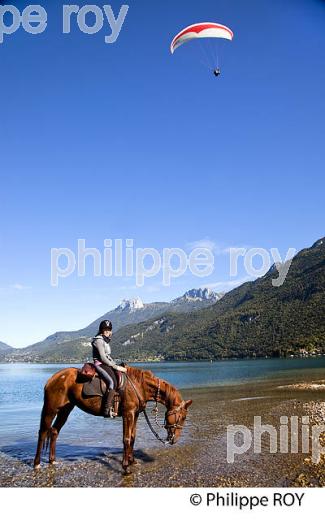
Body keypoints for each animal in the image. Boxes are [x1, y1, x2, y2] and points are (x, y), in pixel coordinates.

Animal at [33, 366, 190, 476]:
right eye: (182, 417)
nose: (175, 439)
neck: (139, 385)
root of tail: (53, 378)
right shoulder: (128, 414)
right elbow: (126, 439)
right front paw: (126, 467)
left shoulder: (135, 415)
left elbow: (133, 438)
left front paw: (132, 461)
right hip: (51, 409)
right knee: (43, 432)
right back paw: (37, 463)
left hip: (65, 410)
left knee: (54, 431)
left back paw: (52, 460)